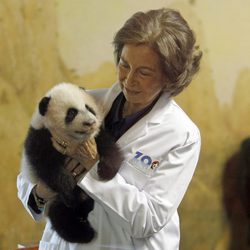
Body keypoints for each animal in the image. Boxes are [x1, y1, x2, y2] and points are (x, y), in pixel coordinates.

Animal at [22, 83, 123, 243]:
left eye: (89, 108)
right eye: (72, 113)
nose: (90, 123)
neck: (73, 141)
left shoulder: (96, 136)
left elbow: (108, 146)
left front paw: (106, 171)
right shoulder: (40, 138)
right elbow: (48, 167)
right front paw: (68, 184)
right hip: (56, 201)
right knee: (62, 218)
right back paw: (85, 231)